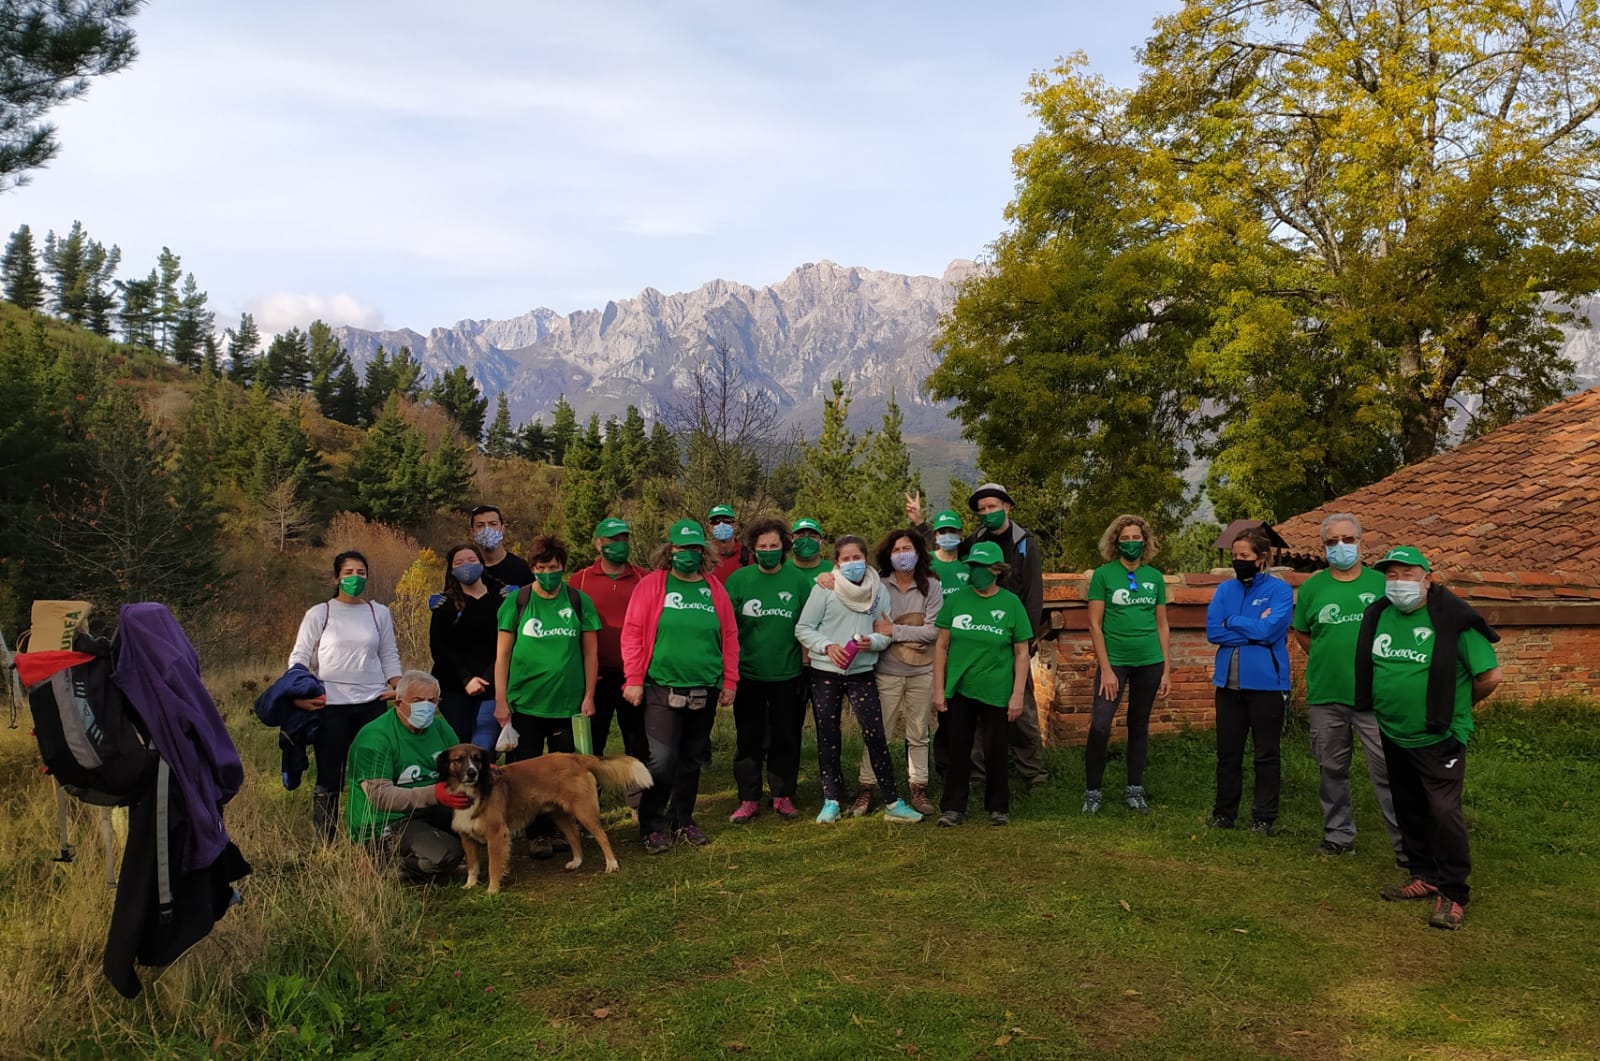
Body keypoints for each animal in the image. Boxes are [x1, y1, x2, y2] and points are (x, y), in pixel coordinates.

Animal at [435, 745, 652, 896]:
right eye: (459, 759)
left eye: (477, 759)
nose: (472, 772)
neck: (473, 791)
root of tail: (573, 757)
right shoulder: (466, 837)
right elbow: (472, 865)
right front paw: (469, 885)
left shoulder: (496, 834)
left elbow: (493, 866)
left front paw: (492, 890)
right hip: (558, 814)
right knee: (573, 835)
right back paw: (577, 861)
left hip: (583, 811)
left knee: (602, 836)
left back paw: (611, 864)